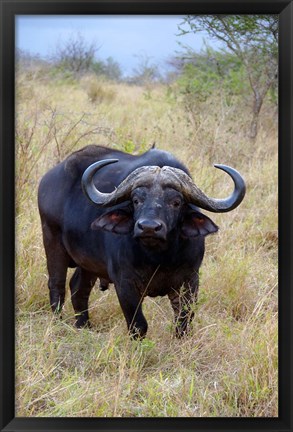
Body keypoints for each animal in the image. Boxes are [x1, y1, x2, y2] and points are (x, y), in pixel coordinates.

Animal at [38, 145, 244, 338]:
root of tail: (49, 179)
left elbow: (183, 323)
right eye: (136, 200)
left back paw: (84, 326)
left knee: (78, 288)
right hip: (52, 240)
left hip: (88, 263)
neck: (159, 258)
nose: (148, 227)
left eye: (176, 202)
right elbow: (138, 325)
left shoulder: (190, 281)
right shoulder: (125, 283)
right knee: (57, 286)